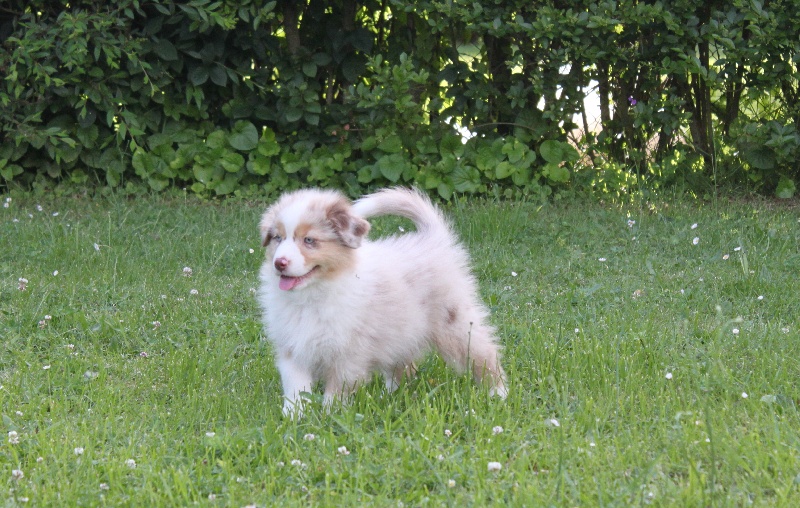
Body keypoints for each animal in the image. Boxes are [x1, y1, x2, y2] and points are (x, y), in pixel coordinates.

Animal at [257, 187, 507, 416]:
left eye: (309, 240)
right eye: (278, 238)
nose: (279, 263)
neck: (311, 296)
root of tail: (434, 238)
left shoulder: (349, 352)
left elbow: (337, 389)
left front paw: (330, 416)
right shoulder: (291, 347)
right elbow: (295, 387)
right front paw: (294, 418)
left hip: (455, 322)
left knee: (484, 353)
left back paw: (498, 393)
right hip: (401, 330)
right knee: (403, 367)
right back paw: (389, 395)